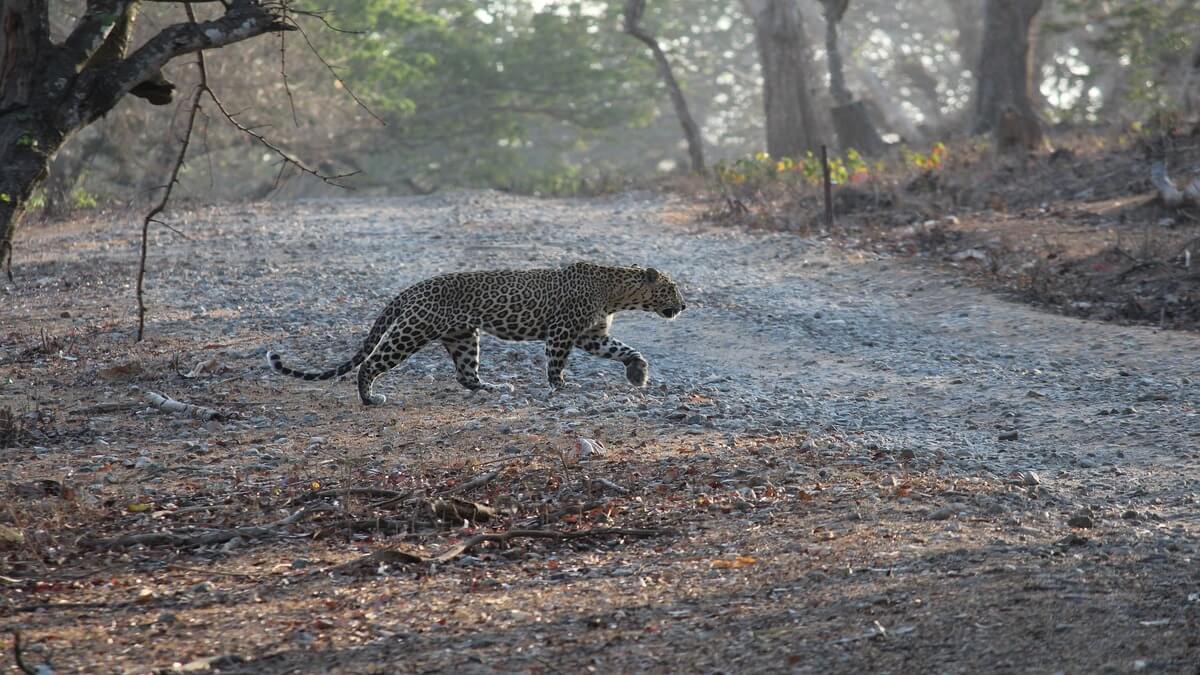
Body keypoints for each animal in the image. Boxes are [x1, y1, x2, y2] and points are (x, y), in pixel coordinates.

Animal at [267, 262, 686, 406]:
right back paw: (371, 398)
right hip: (411, 332)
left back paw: (494, 388)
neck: (616, 292)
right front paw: (561, 388)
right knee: (370, 364)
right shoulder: (563, 332)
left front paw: (638, 374)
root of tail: (411, 289)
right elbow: (556, 363)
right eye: (672, 288)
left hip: (464, 337)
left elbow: (625, 349)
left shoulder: (591, 335)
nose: (683, 306)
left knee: (465, 374)